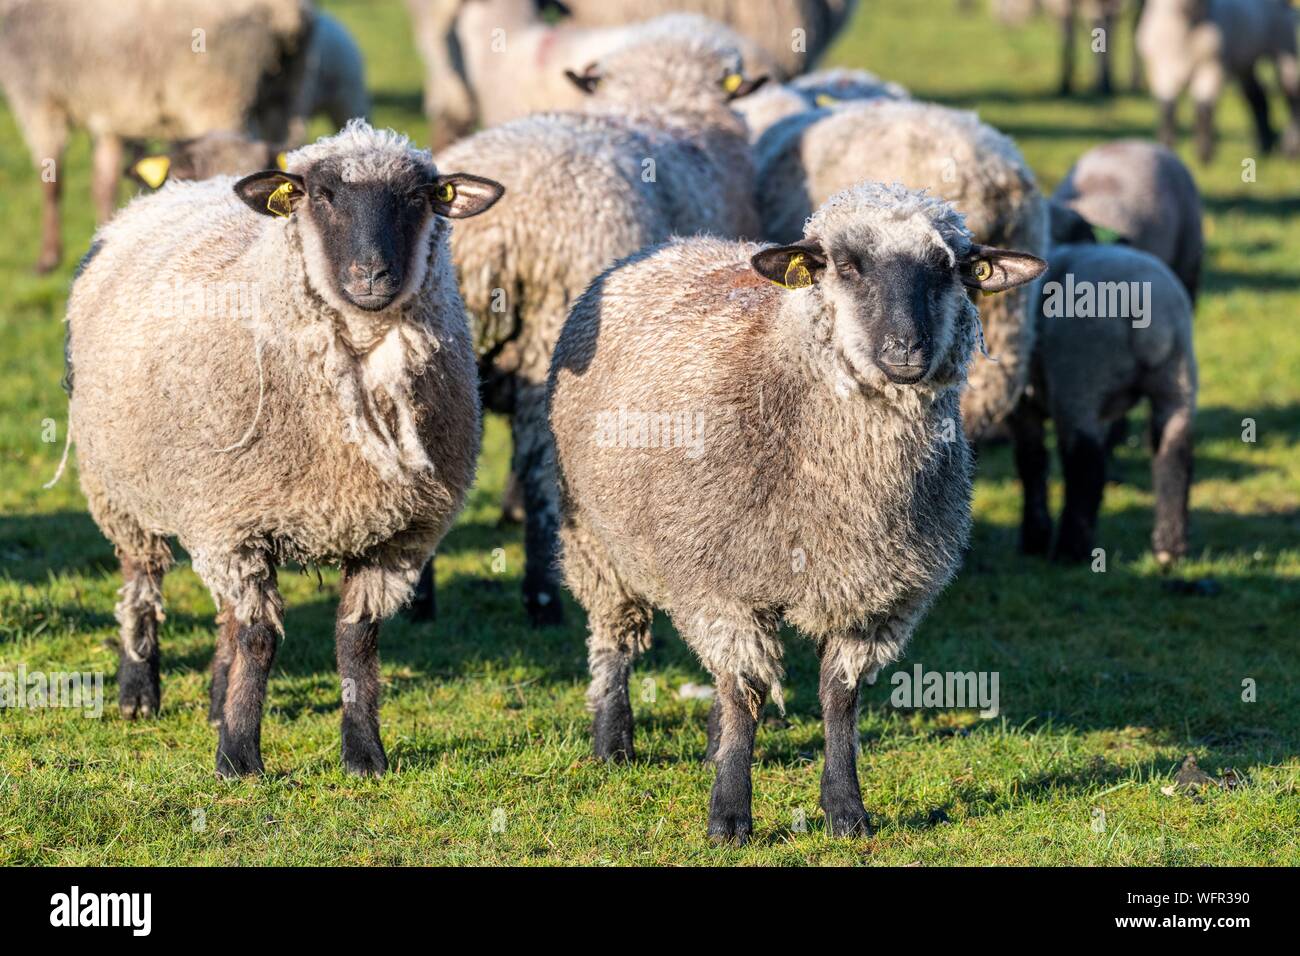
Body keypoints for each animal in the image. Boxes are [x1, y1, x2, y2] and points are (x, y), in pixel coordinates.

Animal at [0, 0, 312, 273]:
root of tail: (285, 12)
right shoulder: (110, 111)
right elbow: (104, 182)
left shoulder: (38, 96)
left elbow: (53, 181)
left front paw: (48, 259)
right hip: (284, 95)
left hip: (216, 92)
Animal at [65, 121, 503, 776]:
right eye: (321, 195)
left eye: (419, 197)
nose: (371, 276)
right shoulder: (236, 522)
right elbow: (261, 639)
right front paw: (239, 755)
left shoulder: (393, 536)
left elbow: (356, 639)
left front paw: (363, 753)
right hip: (120, 490)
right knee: (143, 580)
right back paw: (139, 690)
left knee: (222, 612)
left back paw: (215, 700)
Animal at [548, 182, 1046, 843]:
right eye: (846, 265)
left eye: (949, 269)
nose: (905, 351)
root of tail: (676, 244)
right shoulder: (723, 587)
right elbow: (747, 693)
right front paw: (729, 816)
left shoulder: (873, 597)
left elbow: (838, 697)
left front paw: (846, 810)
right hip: (594, 537)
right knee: (614, 633)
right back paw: (612, 743)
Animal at [1012, 216, 1196, 564]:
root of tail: (1151, 314)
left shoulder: (1021, 405)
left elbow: (1032, 463)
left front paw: (1034, 537)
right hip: (1176, 381)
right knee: (1174, 452)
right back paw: (1169, 548)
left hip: (1079, 382)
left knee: (1084, 465)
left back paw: (1070, 549)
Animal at [1137, 0, 1300, 162]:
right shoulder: (1163, 72)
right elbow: (1167, 109)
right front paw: (1167, 147)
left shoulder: (1211, 69)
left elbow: (1203, 109)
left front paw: (1205, 154)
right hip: (1245, 63)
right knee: (1258, 98)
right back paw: (1263, 147)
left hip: (1283, 49)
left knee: (1291, 96)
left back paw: (1290, 149)